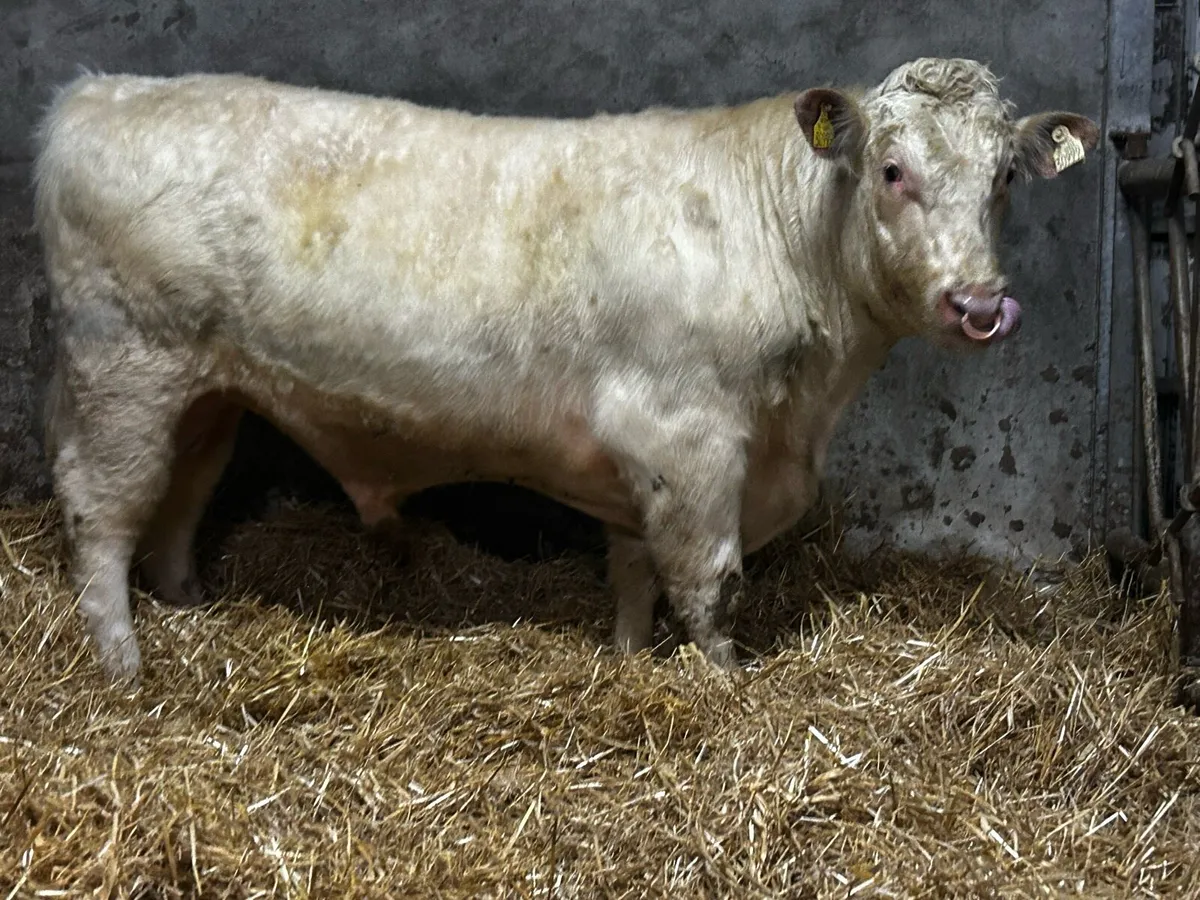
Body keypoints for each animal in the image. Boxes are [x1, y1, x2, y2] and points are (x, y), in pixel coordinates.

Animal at [33, 58, 1097, 682]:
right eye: (891, 171)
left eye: (1006, 177)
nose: (978, 304)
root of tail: (99, 91)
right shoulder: (687, 438)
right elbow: (709, 584)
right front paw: (726, 689)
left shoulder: (648, 461)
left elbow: (633, 575)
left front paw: (627, 664)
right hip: (123, 367)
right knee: (101, 510)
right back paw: (125, 666)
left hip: (208, 389)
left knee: (181, 499)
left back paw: (188, 607)